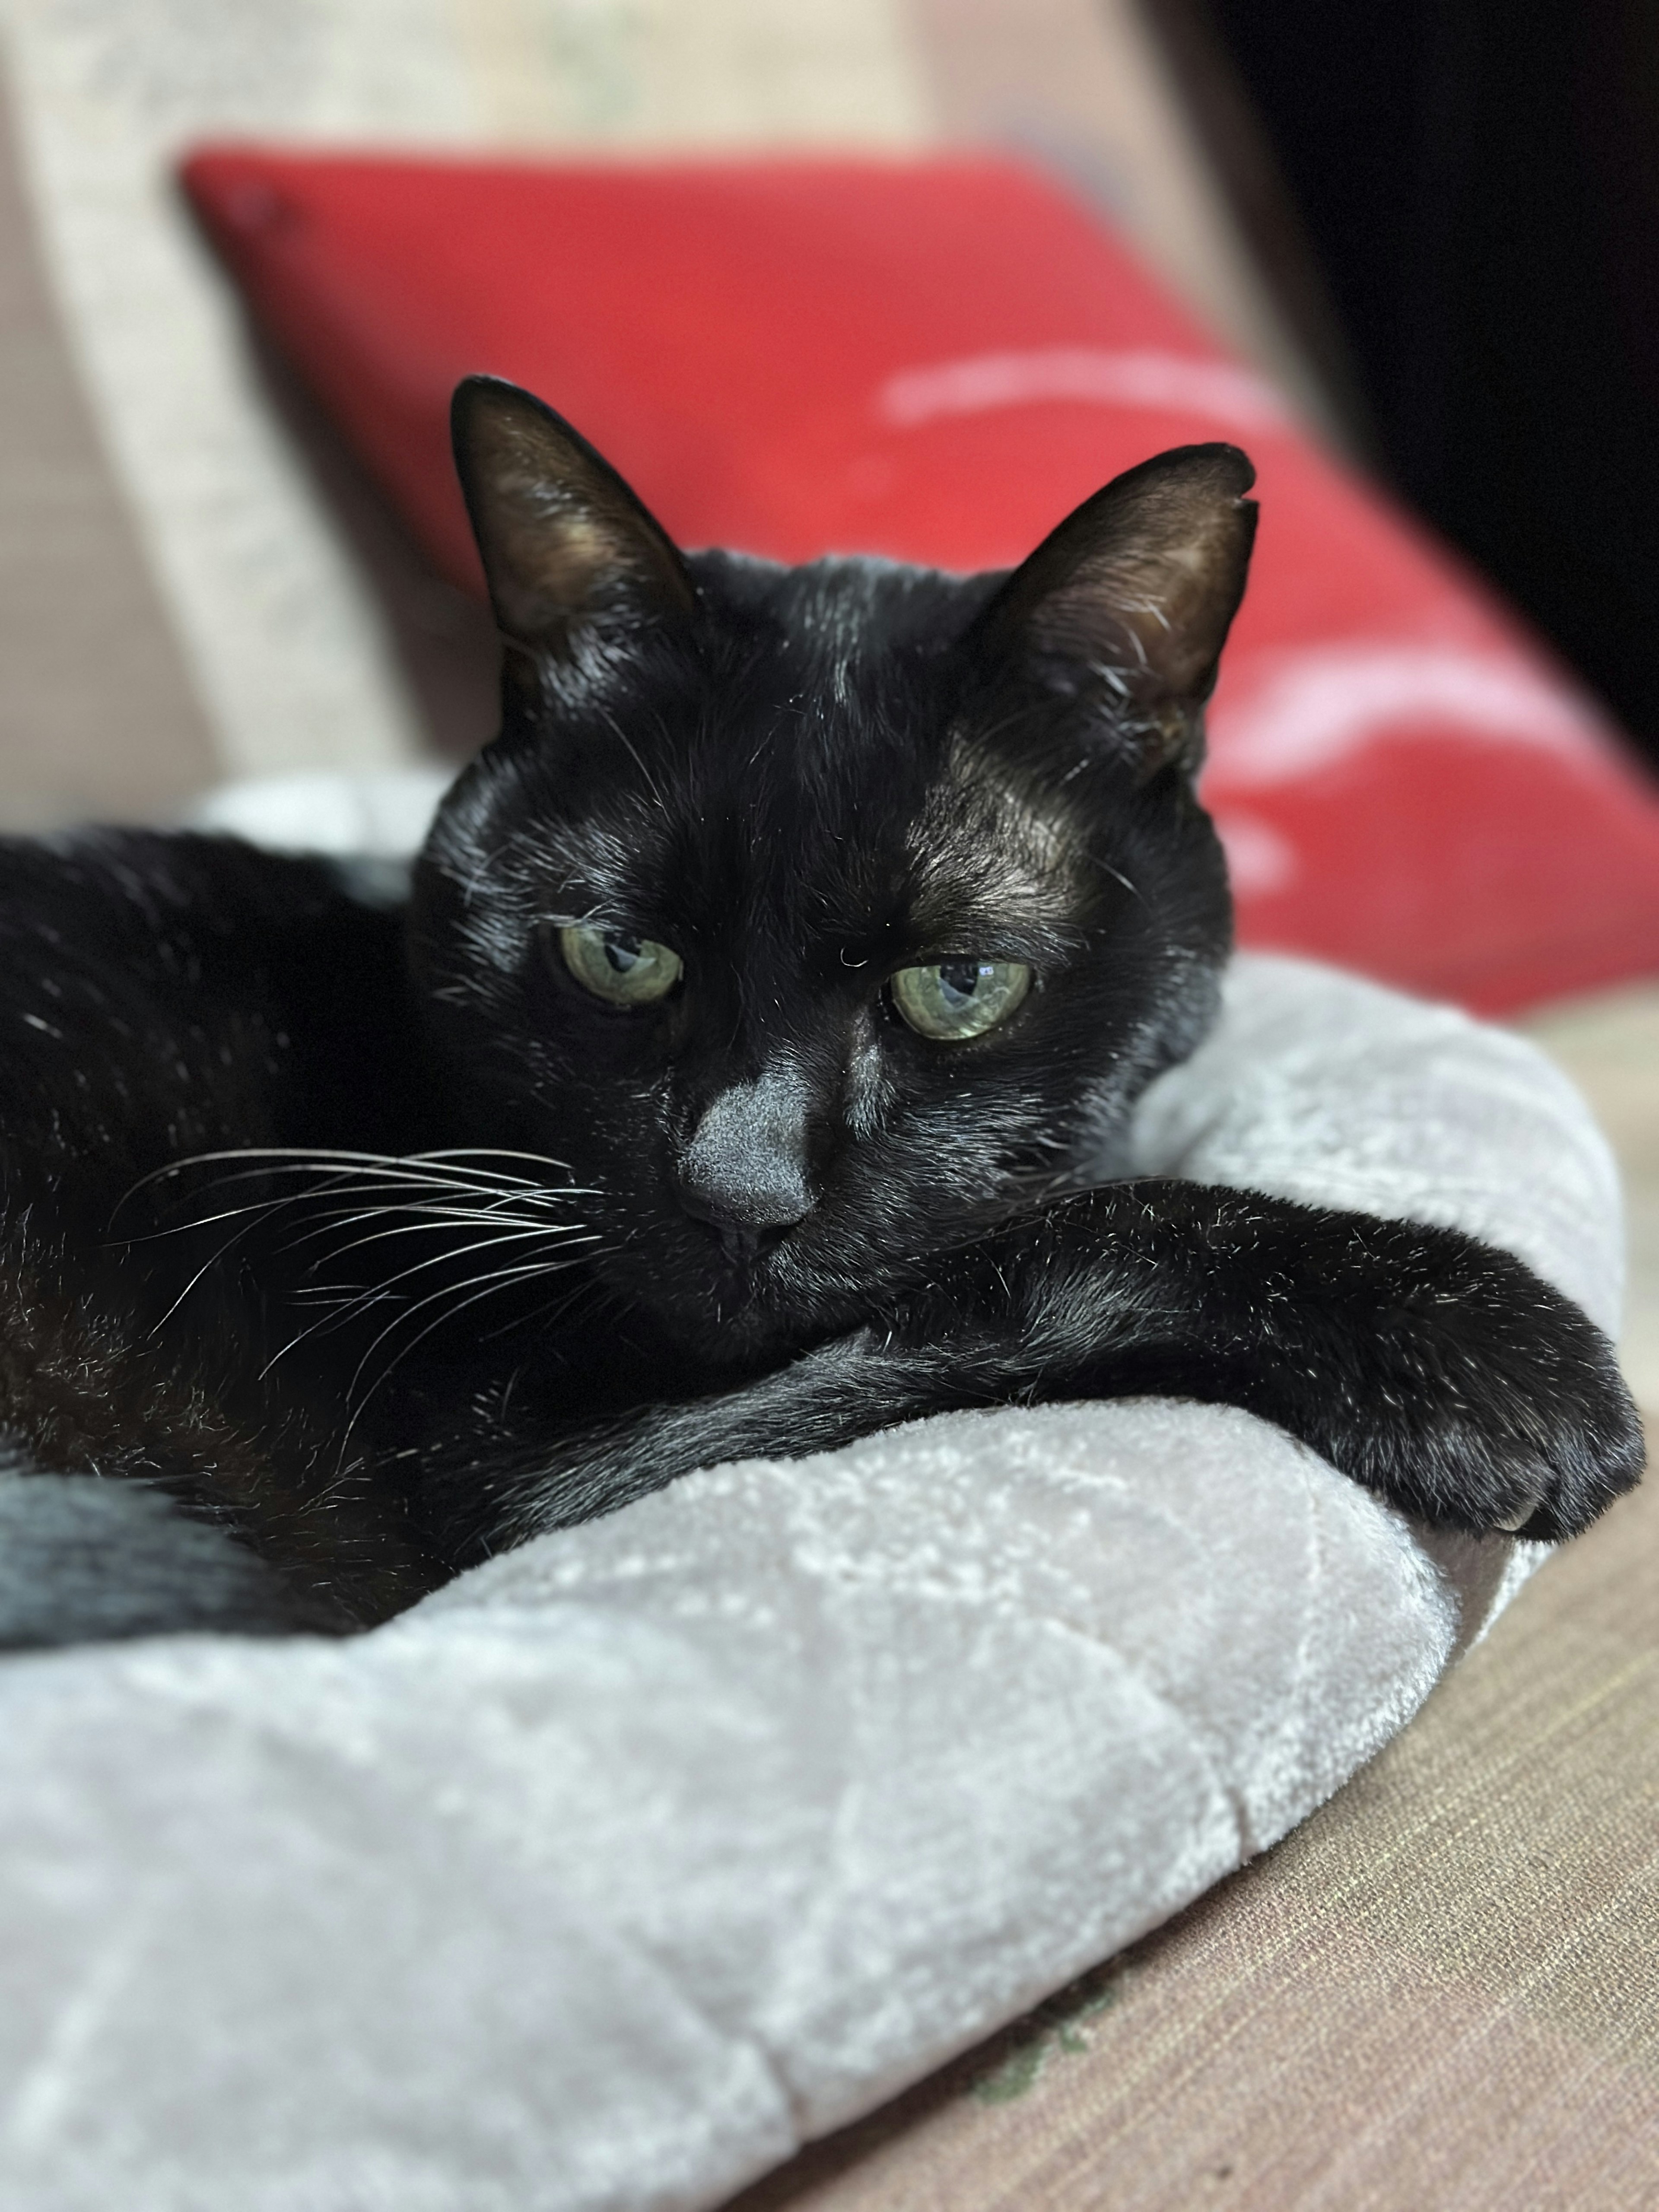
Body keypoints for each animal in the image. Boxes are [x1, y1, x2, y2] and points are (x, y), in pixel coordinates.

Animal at [0, 376, 1646, 1646]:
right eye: (619, 954)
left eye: (958, 983)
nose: (739, 1192)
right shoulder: (512, 1486)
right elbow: (1043, 1247)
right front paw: (1488, 1349)